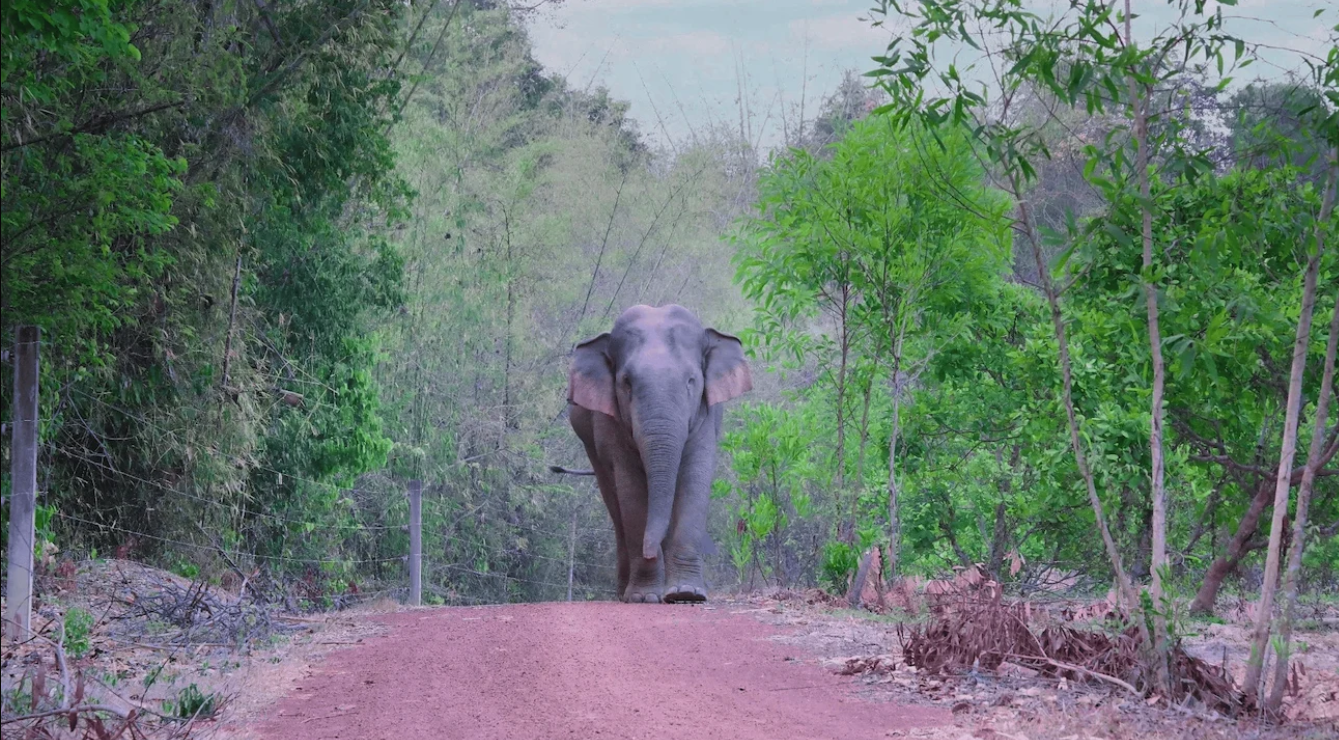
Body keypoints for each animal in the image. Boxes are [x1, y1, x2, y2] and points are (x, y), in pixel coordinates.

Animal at [562, 304, 752, 603]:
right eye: (626, 382)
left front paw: (687, 593)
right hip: (590, 443)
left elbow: (694, 478)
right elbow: (631, 490)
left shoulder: (707, 415)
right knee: (613, 501)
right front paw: (644, 597)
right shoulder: (611, 425)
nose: (650, 550)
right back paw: (625, 592)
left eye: (692, 380)